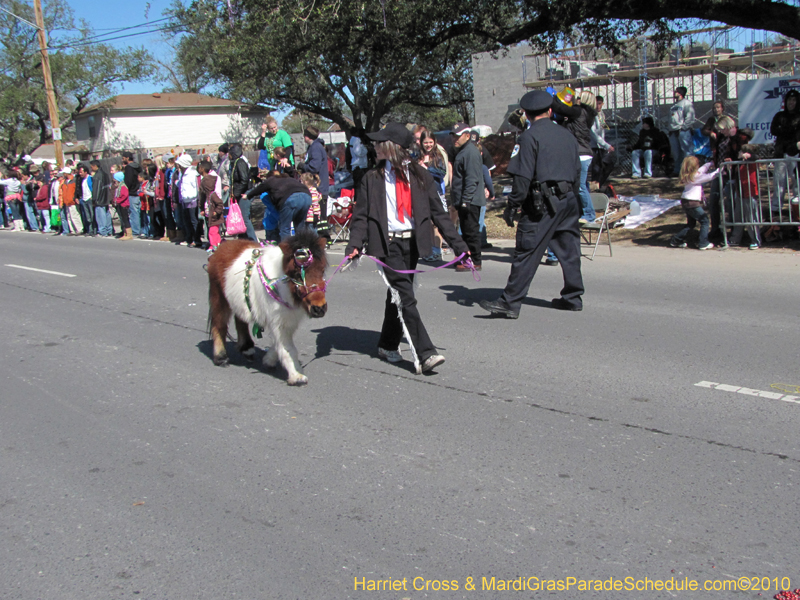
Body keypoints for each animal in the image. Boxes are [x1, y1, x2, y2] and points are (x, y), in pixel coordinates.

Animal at [209, 230, 332, 384]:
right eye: (297, 274)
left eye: (321, 271)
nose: (319, 309)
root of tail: (221, 247)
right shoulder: (278, 320)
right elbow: (288, 348)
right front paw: (296, 375)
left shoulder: (286, 320)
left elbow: (280, 343)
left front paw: (269, 360)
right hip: (219, 297)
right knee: (219, 324)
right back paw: (221, 357)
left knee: (240, 320)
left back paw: (247, 349)